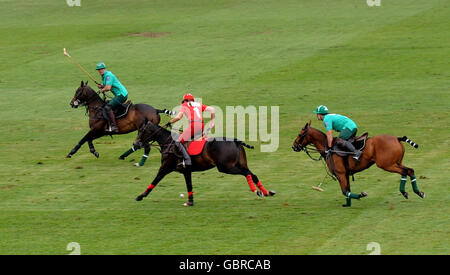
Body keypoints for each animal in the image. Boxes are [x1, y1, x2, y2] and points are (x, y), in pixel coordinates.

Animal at [133, 122, 274, 206]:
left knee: (246, 174)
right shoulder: (186, 171)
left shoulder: (165, 168)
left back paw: (256, 191)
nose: (135, 144)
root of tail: (235, 141)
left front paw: (140, 196)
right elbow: (189, 185)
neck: (168, 143)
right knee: (252, 174)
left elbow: (155, 180)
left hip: (226, 167)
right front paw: (190, 201)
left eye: (142, 131)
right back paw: (266, 192)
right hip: (239, 164)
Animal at [290, 122, 424, 208]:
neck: (328, 148)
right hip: (397, 162)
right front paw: (347, 204)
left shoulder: (341, 174)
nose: (294, 146)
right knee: (410, 170)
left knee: (405, 172)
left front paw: (361, 195)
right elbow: (347, 190)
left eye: (300, 134)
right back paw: (418, 192)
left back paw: (405, 192)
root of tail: (397, 138)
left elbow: (345, 191)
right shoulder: (345, 174)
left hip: (386, 164)